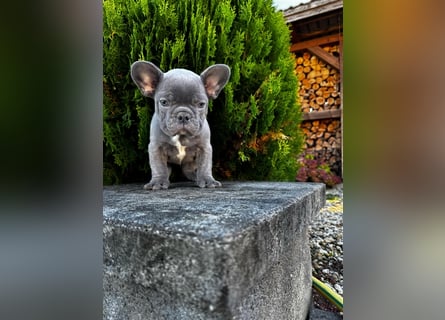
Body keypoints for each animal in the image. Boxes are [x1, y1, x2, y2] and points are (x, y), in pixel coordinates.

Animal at [130, 61, 231, 189]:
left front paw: (207, 180)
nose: (183, 115)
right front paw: (158, 182)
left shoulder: (204, 147)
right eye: (164, 102)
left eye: (201, 104)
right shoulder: (156, 147)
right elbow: (158, 166)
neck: (181, 136)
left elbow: (205, 165)